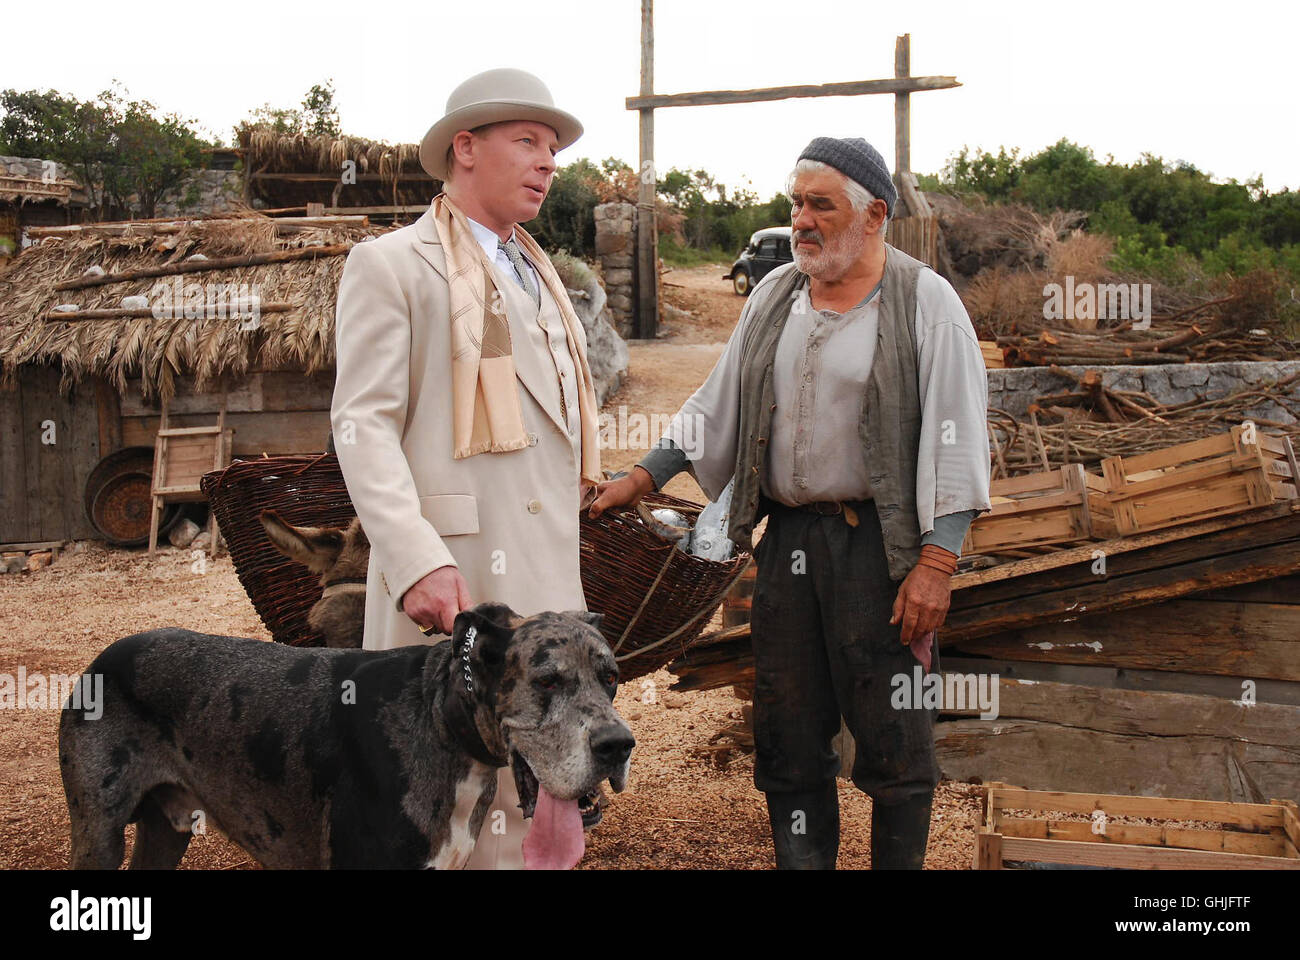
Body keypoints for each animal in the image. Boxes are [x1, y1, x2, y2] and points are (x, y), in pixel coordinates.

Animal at [58, 606, 637, 868]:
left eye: (610, 677)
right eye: (547, 681)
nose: (617, 745)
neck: (440, 725)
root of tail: (102, 658)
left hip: (165, 831)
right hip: (97, 834)